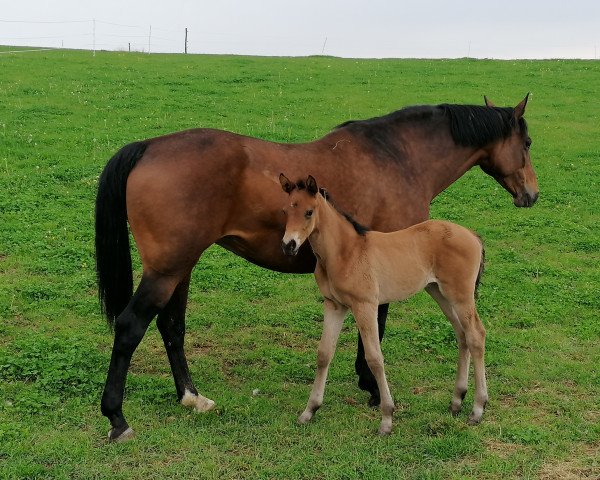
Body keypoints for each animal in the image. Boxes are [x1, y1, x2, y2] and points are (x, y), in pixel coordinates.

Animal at [282, 173, 488, 436]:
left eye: (309, 212)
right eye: (286, 210)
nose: (288, 245)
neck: (345, 252)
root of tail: (473, 236)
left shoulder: (365, 306)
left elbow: (374, 357)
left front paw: (387, 418)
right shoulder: (334, 306)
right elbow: (324, 354)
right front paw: (309, 411)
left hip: (460, 295)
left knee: (476, 335)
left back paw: (477, 409)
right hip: (439, 292)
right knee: (462, 335)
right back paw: (456, 401)